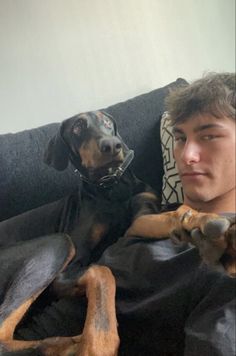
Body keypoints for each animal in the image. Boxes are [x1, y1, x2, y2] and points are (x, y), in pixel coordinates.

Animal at [0, 110, 234, 354]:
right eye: (77, 128)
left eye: (106, 121)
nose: (112, 145)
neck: (113, 187)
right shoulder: (66, 274)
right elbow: (102, 271)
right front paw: (99, 344)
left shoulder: (140, 215)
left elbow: (173, 213)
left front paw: (206, 222)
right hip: (58, 242)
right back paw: (69, 344)